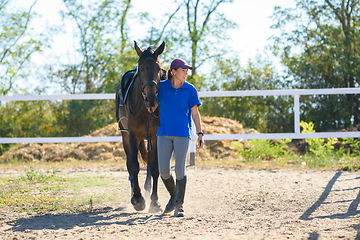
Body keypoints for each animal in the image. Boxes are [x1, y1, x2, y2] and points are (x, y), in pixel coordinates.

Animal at [116, 40, 165, 212]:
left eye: (158, 69)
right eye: (141, 68)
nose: (151, 99)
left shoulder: (156, 136)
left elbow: (155, 167)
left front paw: (155, 201)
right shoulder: (132, 135)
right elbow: (133, 166)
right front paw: (138, 199)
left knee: (149, 162)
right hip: (125, 135)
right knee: (130, 164)